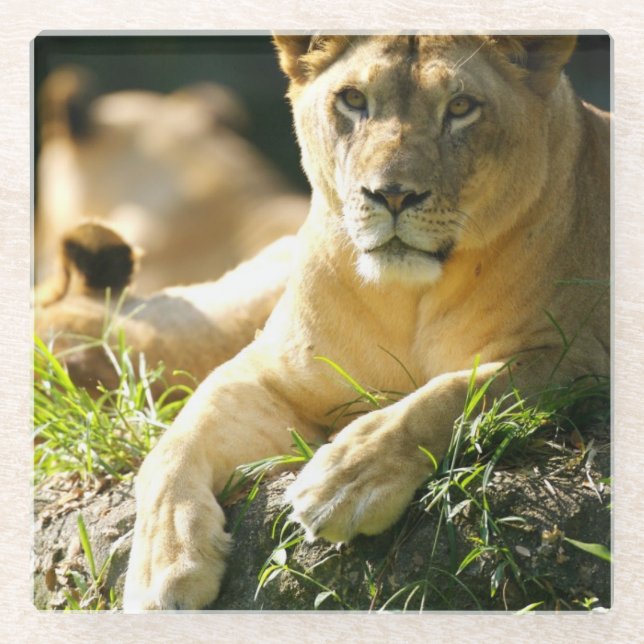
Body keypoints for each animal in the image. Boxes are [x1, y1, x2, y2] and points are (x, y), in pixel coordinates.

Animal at [122, 35, 609, 610]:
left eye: (461, 107)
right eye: (354, 99)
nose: (392, 195)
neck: (405, 297)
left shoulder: (572, 356)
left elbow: (448, 395)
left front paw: (345, 482)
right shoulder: (268, 370)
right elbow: (175, 441)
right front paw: (164, 567)